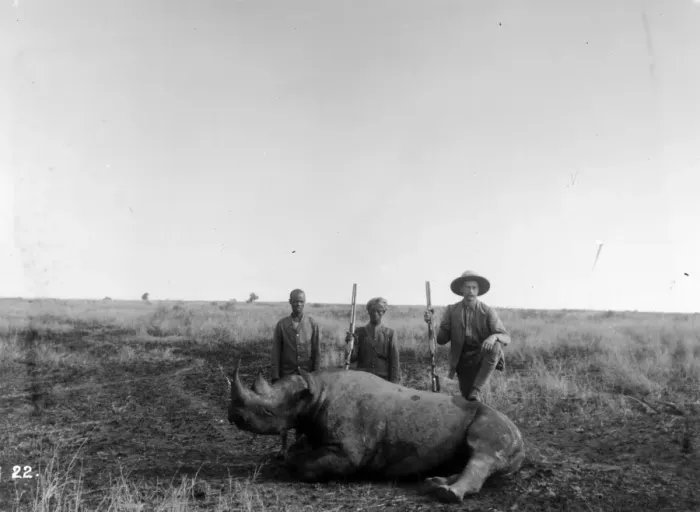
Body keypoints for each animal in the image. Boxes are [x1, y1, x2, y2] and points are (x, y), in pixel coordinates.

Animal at [226, 361, 525, 503]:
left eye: (267, 413)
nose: (233, 417)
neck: (313, 393)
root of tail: (522, 438)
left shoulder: (348, 453)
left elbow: (307, 465)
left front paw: (297, 467)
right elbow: (296, 452)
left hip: (496, 423)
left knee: (482, 451)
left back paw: (447, 494)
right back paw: (434, 483)